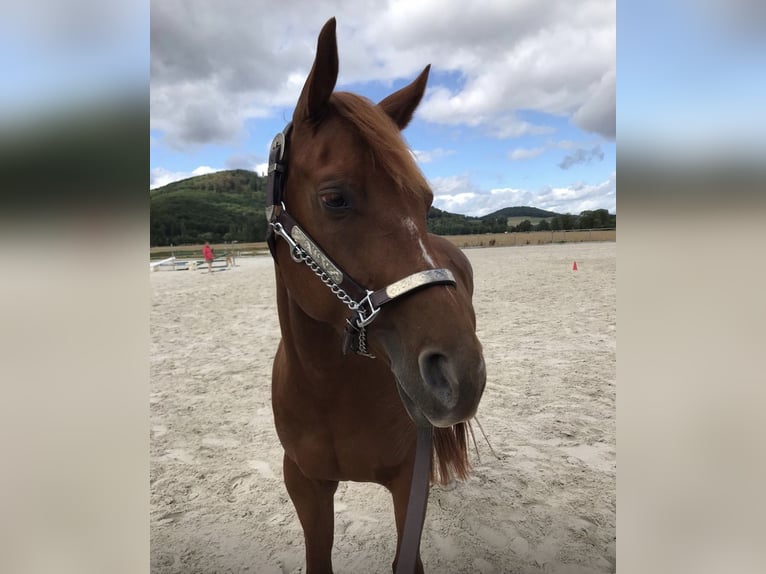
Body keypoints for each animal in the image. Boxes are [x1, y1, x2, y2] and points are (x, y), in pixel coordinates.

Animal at [267, 18, 486, 574]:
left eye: (426, 202)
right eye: (335, 198)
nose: (460, 374)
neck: (329, 387)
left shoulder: (408, 479)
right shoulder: (304, 484)